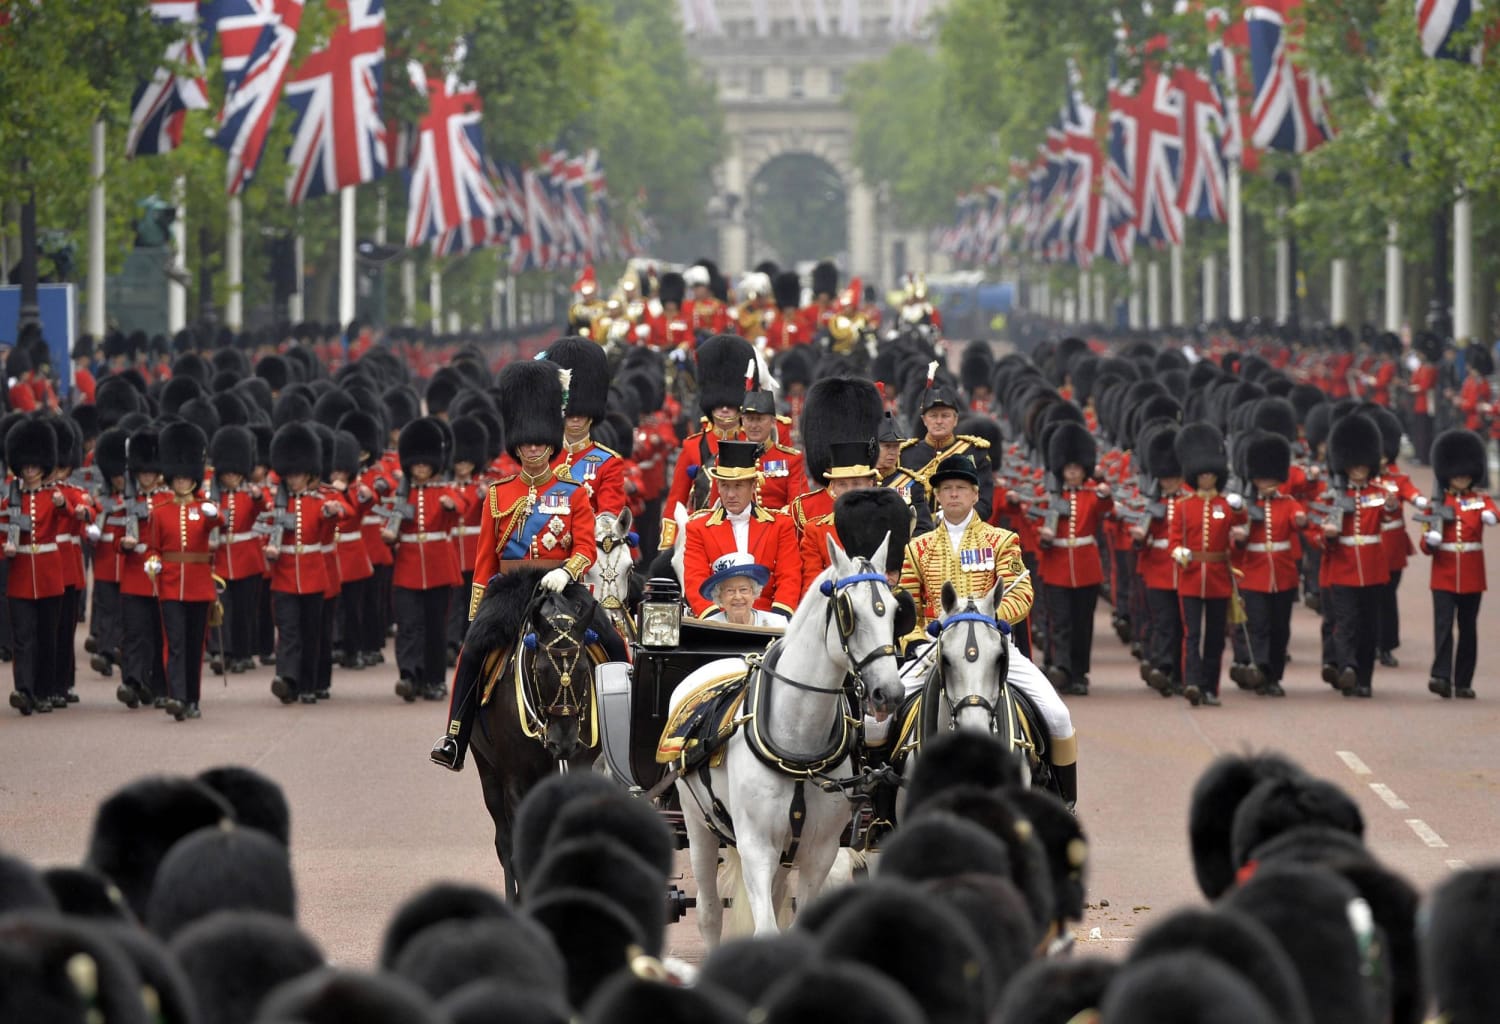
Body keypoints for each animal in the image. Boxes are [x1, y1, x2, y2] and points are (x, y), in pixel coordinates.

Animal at [459, 569, 618, 899]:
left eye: (583, 670)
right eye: (542, 670)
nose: (563, 743)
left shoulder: (577, 770)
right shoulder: (515, 781)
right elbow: (521, 849)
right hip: (487, 770)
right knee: (504, 842)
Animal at [675, 536, 906, 947]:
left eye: (894, 611)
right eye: (847, 611)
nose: (888, 694)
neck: (799, 746)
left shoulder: (821, 850)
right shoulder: (755, 846)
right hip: (697, 823)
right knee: (708, 909)